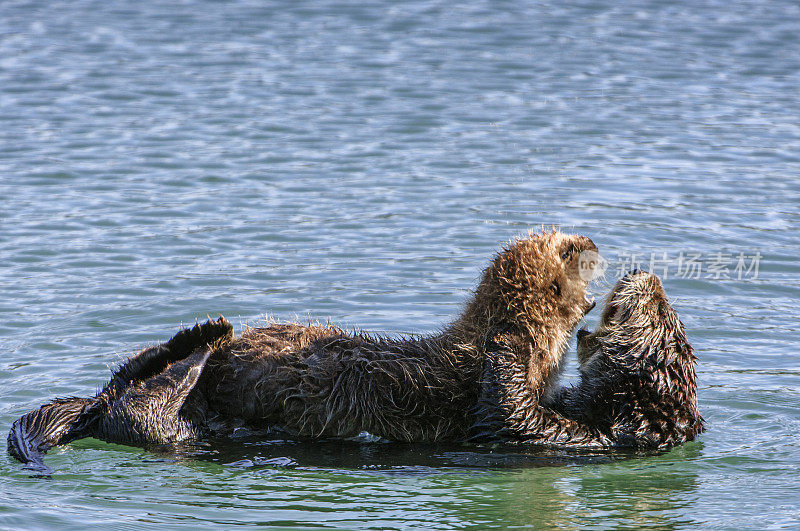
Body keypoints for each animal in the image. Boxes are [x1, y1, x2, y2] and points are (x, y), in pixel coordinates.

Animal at [7, 231, 600, 472]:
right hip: (154, 414)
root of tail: (94, 408)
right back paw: (205, 335)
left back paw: (200, 341)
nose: (591, 243)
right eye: (567, 246)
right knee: (131, 390)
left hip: (177, 426)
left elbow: (511, 418)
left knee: (139, 401)